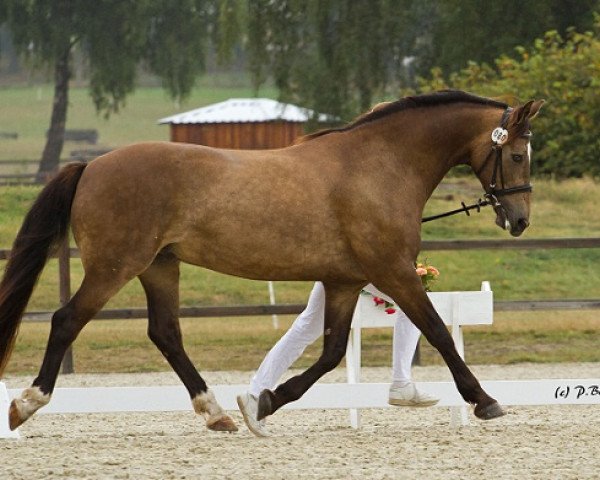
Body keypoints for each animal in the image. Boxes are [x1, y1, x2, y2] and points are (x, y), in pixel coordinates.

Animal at [0, 89, 544, 432]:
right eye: (518, 155)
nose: (519, 220)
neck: (381, 165)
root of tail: (91, 165)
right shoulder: (393, 272)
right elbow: (435, 331)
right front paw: (485, 401)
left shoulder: (344, 282)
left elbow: (330, 353)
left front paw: (264, 403)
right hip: (115, 266)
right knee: (67, 319)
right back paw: (26, 404)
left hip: (159, 266)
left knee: (166, 333)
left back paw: (216, 412)